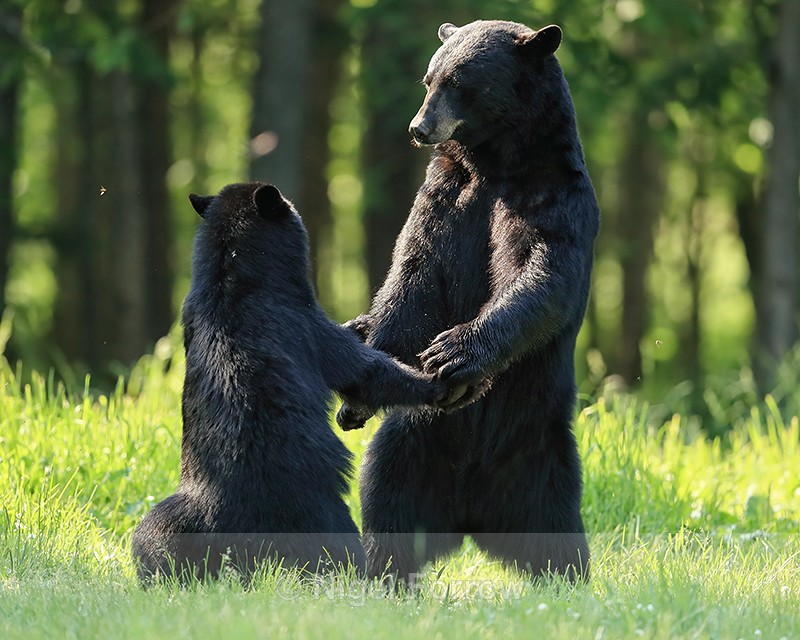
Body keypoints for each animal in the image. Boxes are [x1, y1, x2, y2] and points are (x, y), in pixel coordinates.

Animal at [132, 182, 448, 584]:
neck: (231, 278)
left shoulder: (191, 314)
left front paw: (361, 323)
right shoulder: (299, 322)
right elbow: (360, 369)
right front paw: (436, 383)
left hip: (174, 520)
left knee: (152, 539)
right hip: (315, 506)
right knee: (336, 549)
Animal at [337, 20, 600, 583]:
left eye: (459, 83)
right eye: (428, 78)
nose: (418, 128)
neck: (495, 164)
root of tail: (470, 516)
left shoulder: (552, 197)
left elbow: (541, 275)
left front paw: (455, 352)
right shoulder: (446, 195)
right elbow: (413, 277)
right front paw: (359, 393)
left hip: (540, 455)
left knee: (557, 531)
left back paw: (568, 580)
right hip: (411, 440)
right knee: (387, 502)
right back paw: (385, 573)